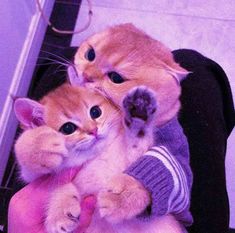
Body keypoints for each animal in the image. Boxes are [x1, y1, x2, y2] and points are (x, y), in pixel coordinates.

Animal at [14, 83, 184, 233]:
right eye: (68, 128)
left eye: (95, 112)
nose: (93, 130)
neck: (95, 157)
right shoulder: (34, 176)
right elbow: (49, 179)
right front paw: (41, 144)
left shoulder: (132, 155)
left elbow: (137, 145)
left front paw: (119, 198)